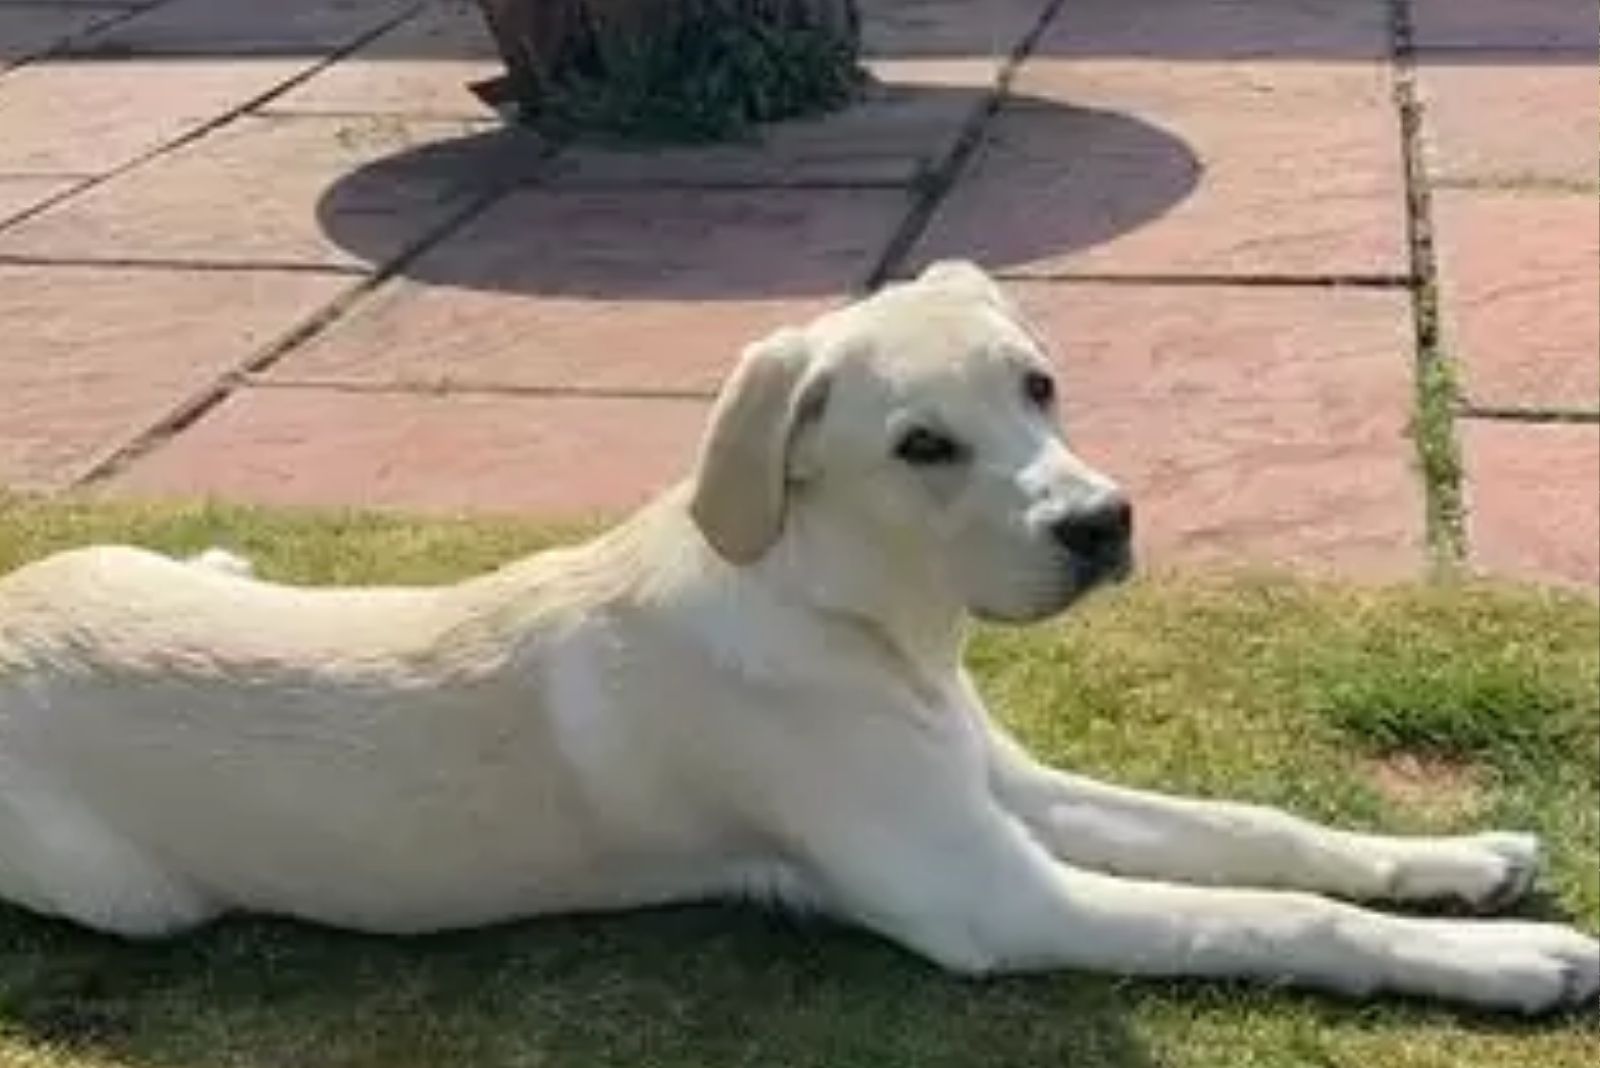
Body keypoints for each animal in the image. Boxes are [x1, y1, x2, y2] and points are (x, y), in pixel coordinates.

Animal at [0, 262, 1593, 1016]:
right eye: (922, 445)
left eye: (1039, 383)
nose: (1104, 523)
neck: (853, 618)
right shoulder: (999, 899)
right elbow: (1278, 917)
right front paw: (1512, 964)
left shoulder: (1010, 791)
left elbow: (1266, 832)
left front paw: (1465, 862)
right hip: (127, 897)